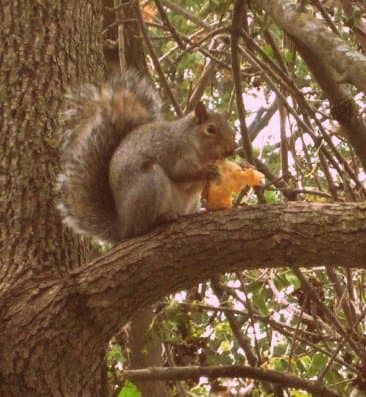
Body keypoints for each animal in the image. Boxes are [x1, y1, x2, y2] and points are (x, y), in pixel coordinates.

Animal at [56, 71, 236, 244]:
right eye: (210, 129)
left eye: (231, 129)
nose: (231, 150)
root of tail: (123, 226)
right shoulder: (174, 152)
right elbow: (180, 174)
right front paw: (206, 172)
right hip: (149, 184)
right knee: (142, 226)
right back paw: (162, 218)